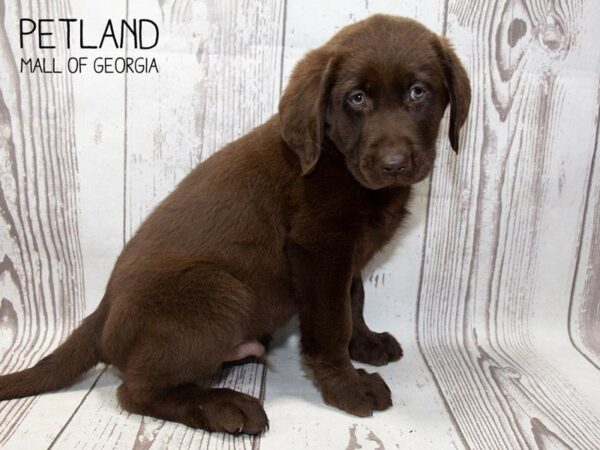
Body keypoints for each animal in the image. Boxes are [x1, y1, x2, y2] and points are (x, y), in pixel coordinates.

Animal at [0, 15, 472, 434]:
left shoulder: (344, 255)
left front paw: (367, 344)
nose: (395, 164)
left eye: (418, 92)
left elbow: (353, 301)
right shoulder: (320, 249)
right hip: (220, 291)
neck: (340, 161)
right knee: (134, 391)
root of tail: (101, 313)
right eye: (356, 99)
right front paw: (348, 387)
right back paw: (223, 407)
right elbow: (331, 321)